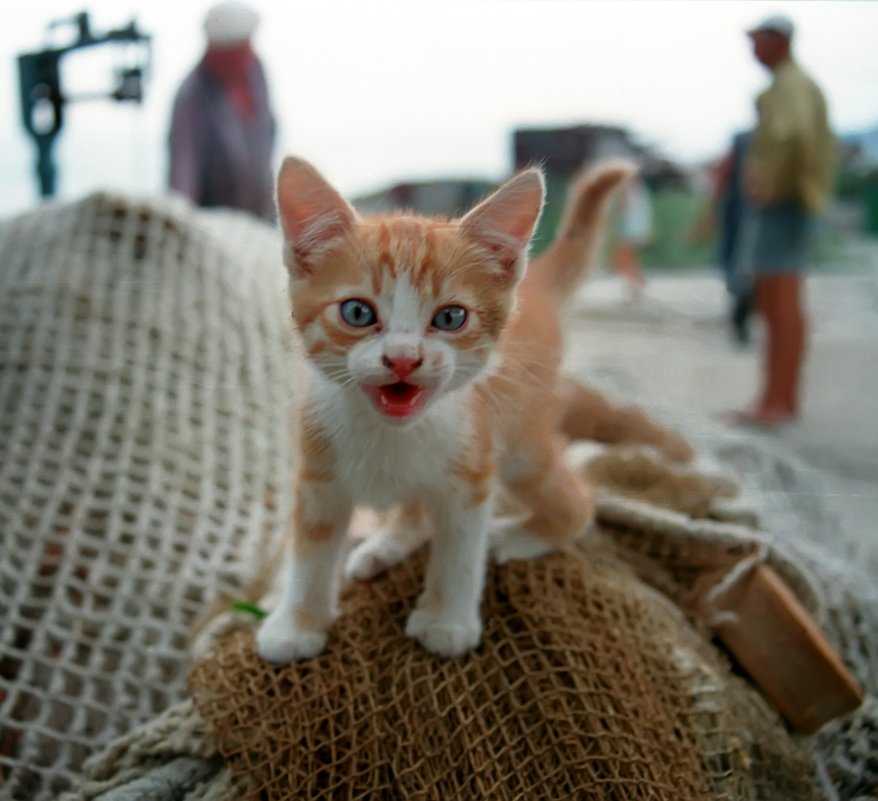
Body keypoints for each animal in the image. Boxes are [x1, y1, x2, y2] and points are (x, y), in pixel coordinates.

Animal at [258, 156, 628, 664]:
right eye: (357, 312)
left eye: (451, 317)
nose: (403, 359)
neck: (391, 434)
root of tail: (534, 287)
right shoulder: (318, 477)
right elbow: (310, 553)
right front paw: (296, 624)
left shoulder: (472, 470)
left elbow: (459, 551)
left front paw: (446, 621)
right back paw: (386, 545)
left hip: (522, 441)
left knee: (579, 501)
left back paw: (519, 535)